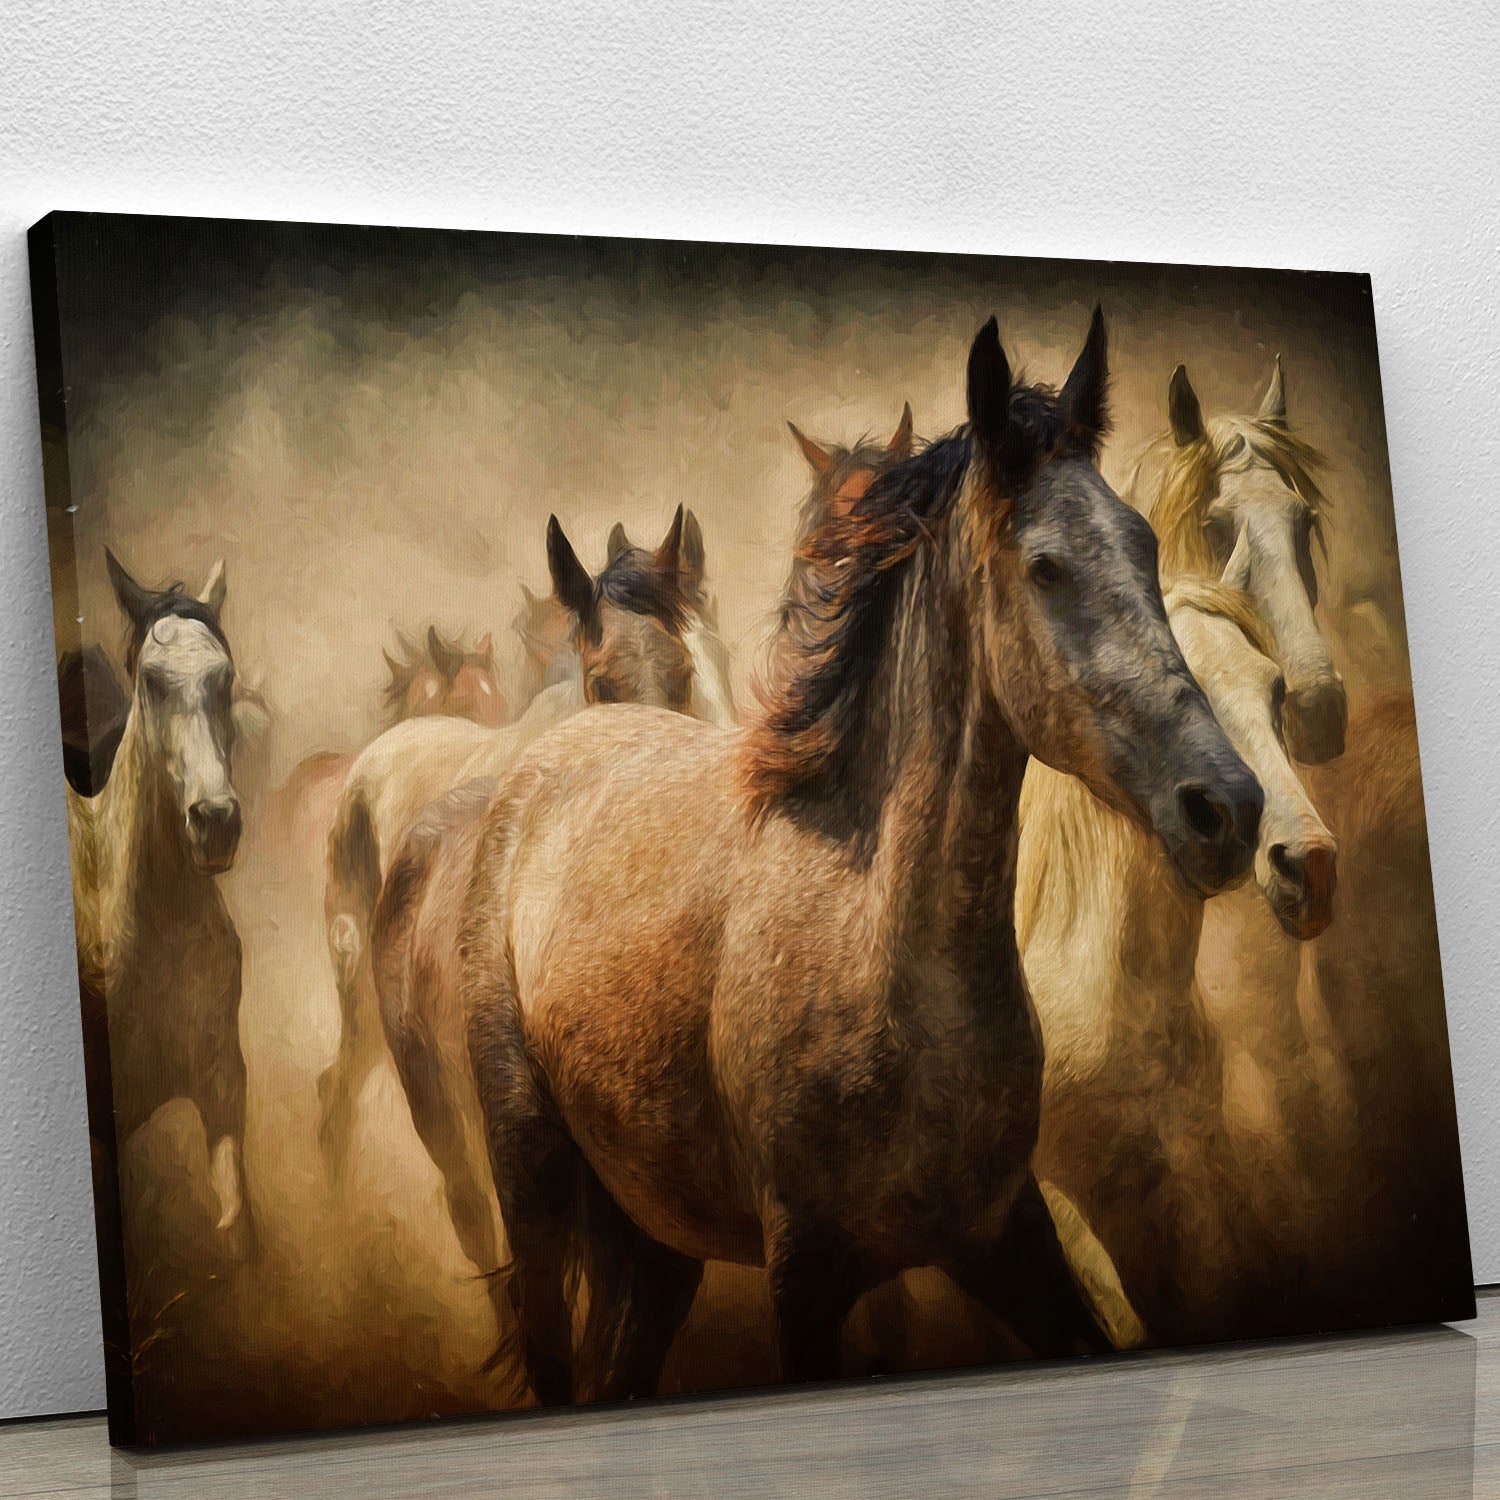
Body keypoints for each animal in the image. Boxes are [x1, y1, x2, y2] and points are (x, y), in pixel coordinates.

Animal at [453, 310, 1264, 1406]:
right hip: (531, 1173)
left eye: (1142, 543)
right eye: (1047, 566)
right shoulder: (808, 1279)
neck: (882, 948)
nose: (1226, 809)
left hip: (658, 1236)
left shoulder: (1006, 1236)